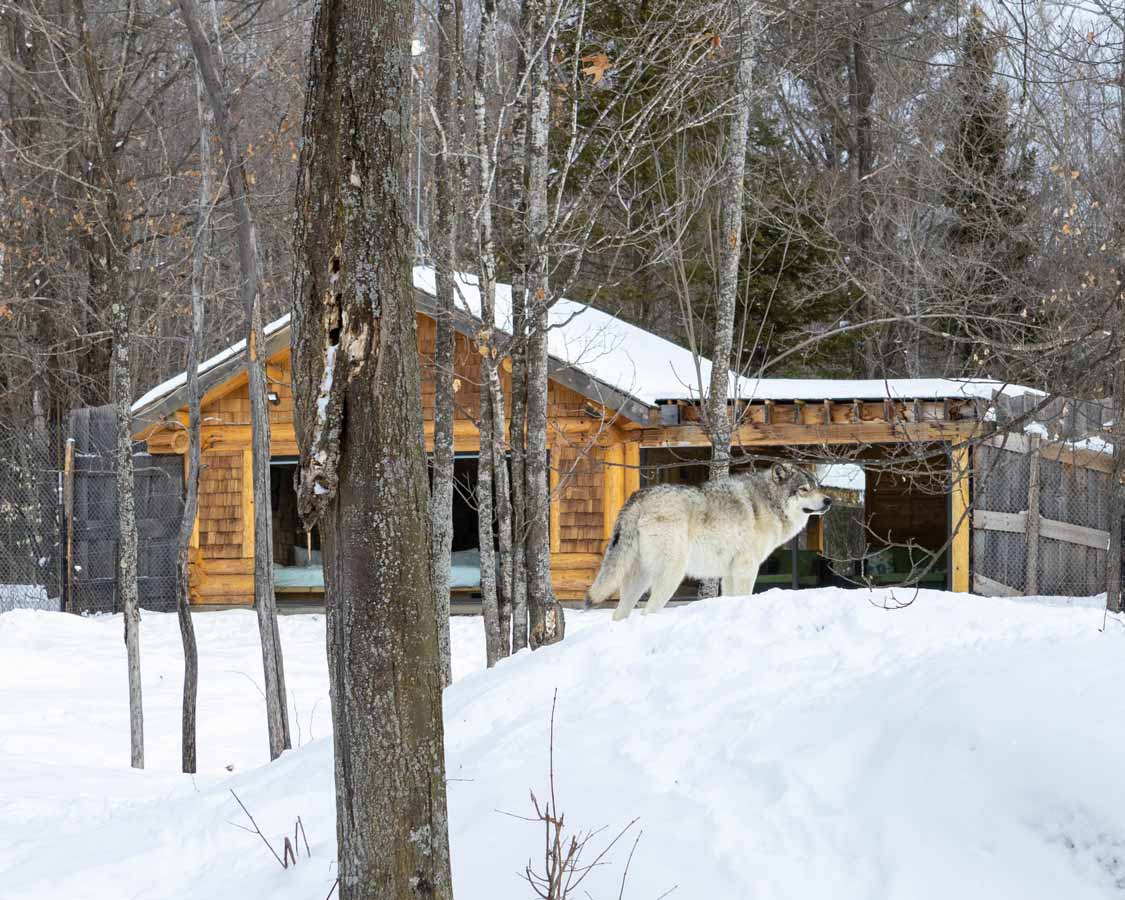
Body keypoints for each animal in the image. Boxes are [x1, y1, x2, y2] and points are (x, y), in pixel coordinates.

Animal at [585, 463, 832, 621]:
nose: (829, 500)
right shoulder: (746, 568)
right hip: (671, 575)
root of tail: (639, 497)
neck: (769, 502)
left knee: (619, 614)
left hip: (639, 580)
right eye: (804, 489)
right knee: (647, 611)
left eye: (817, 486)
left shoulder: (729, 573)